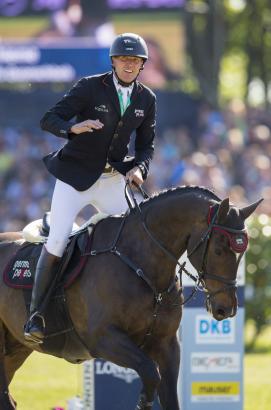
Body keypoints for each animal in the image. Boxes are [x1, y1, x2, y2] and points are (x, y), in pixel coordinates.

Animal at [0, 187, 262, 410]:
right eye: (218, 249)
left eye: (242, 254)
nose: (225, 309)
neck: (142, 263)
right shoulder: (104, 340)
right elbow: (150, 373)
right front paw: (143, 400)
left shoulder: (166, 344)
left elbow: (169, 395)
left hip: (15, 348)